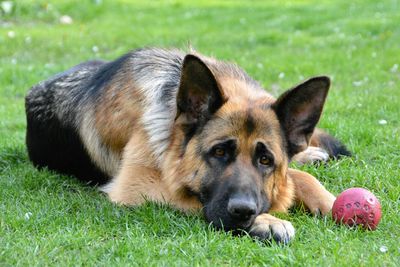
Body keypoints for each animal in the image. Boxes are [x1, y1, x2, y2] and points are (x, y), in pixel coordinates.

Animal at [25, 47, 350, 244]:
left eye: (266, 160)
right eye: (219, 152)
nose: (244, 211)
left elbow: (301, 178)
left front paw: (330, 201)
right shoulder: (135, 186)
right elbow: (190, 198)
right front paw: (267, 220)